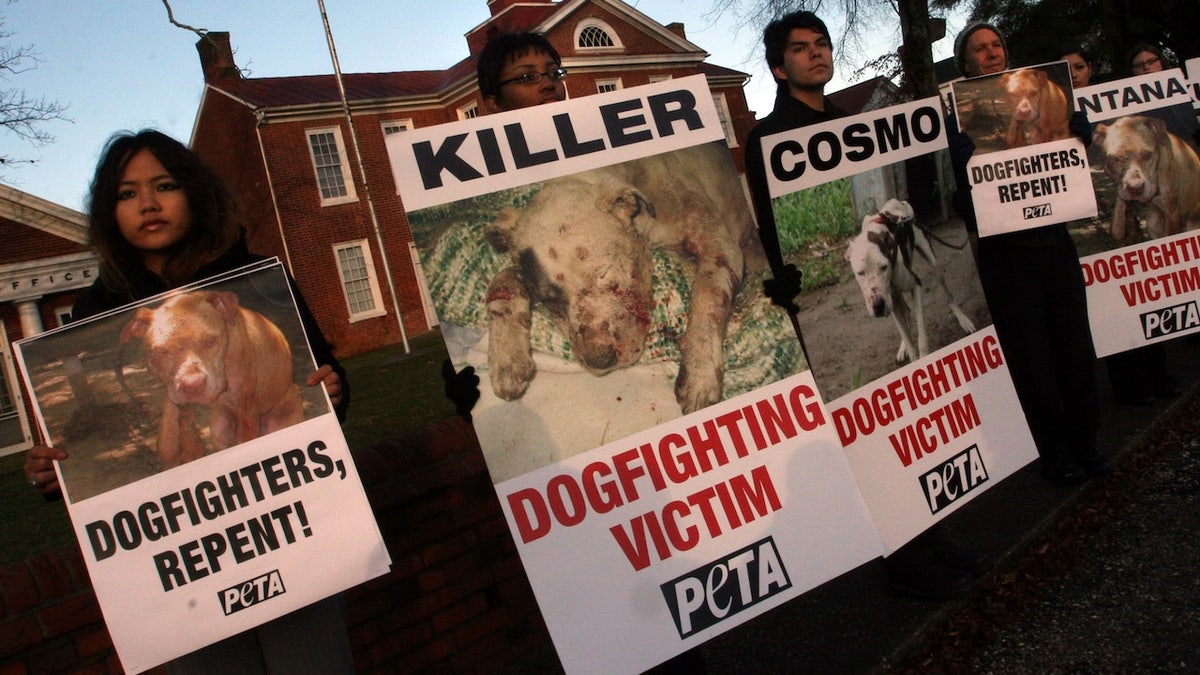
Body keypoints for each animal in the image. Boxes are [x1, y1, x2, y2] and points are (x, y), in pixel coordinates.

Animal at [120, 289, 304, 468]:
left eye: (210, 341)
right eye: (161, 351)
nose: (193, 385)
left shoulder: (246, 410)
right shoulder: (175, 397)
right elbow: (171, 434)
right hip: (218, 427)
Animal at [482, 141, 763, 413]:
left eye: (604, 274)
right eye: (548, 299)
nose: (599, 360)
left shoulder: (720, 246)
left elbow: (708, 293)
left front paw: (700, 373)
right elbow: (502, 278)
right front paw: (506, 359)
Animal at [844, 196, 974, 360]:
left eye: (884, 267)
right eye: (860, 273)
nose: (878, 306)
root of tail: (896, 201)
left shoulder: (915, 285)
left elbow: (922, 339)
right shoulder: (890, 302)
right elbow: (907, 338)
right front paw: (908, 349)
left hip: (933, 261)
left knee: (948, 295)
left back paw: (963, 320)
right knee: (905, 311)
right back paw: (903, 346)